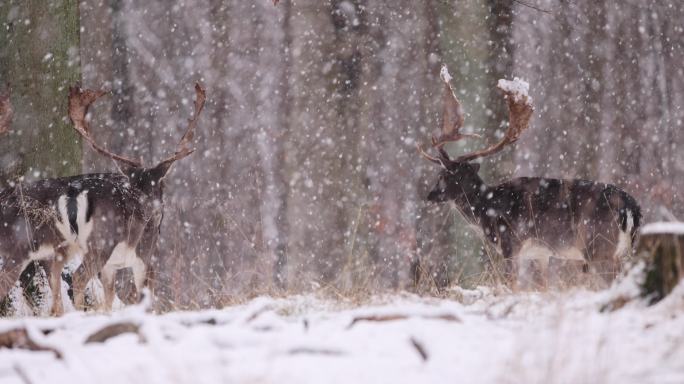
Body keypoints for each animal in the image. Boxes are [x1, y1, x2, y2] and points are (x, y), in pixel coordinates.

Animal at [0, 82, 206, 314]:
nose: (159, 213)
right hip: (95, 242)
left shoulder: (110, 267)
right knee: (78, 276)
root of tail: (73, 194)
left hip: (62, 247)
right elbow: (145, 297)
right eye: (163, 188)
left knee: (56, 280)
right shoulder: (145, 255)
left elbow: (109, 299)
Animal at [416, 66, 640, 286]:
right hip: (623, 249)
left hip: (598, 245)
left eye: (445, 174)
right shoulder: (541, 254)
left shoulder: (511, 242)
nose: (430, 195)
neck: (487, 208)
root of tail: (631, 207)